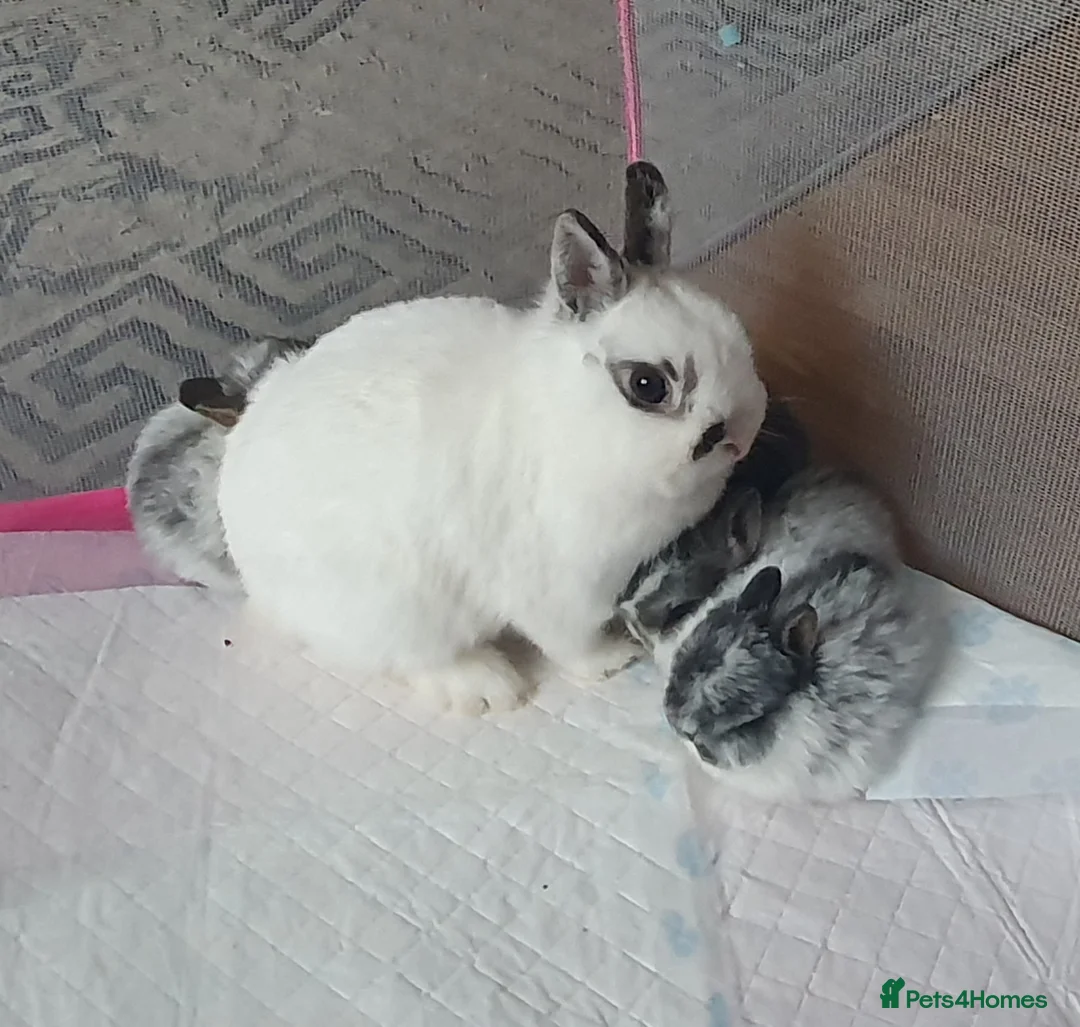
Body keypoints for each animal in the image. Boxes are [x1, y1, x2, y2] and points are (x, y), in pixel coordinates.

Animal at [215, 162, 769, 715]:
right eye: (648, 385)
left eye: (738, 334)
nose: (741, 437)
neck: (569, 420)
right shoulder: (560, 589)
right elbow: (572, 642)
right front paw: (615, 658)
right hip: (400, 612)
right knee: (415, 659)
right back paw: (489, 685)